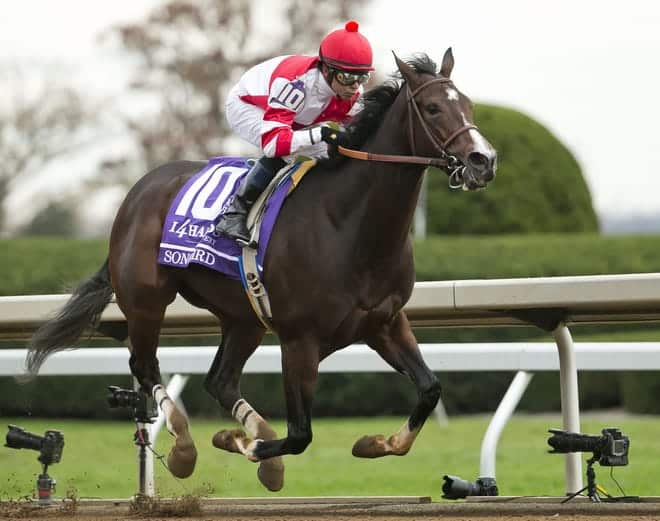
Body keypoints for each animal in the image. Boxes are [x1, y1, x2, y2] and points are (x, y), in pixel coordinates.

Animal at [28, 46, 498, 490]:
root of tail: (136, 194)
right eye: (433, 108)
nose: (483, 160)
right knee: (145, 369)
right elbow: (300, 434)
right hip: (146, 303)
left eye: (469, 105)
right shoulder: (299, 340)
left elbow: (430, 389)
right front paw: (241, 444)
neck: (351, 225)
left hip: (244, 317)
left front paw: (373, 442)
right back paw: (185, 448)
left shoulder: (385, 322)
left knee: (219, 380)